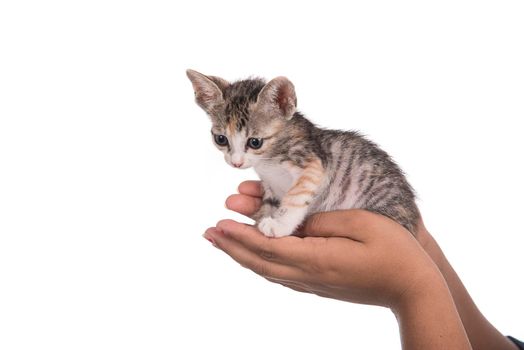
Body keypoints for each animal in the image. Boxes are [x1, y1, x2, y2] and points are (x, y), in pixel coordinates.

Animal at [186, 68, 420, 238]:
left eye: (255, 142)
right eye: (221, 139)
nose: (236, 163)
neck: (268, 161)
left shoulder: (312, 163)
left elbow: (296, 196)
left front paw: (279, 225)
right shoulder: (270, 183)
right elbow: (271, 202)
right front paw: (264, 217)